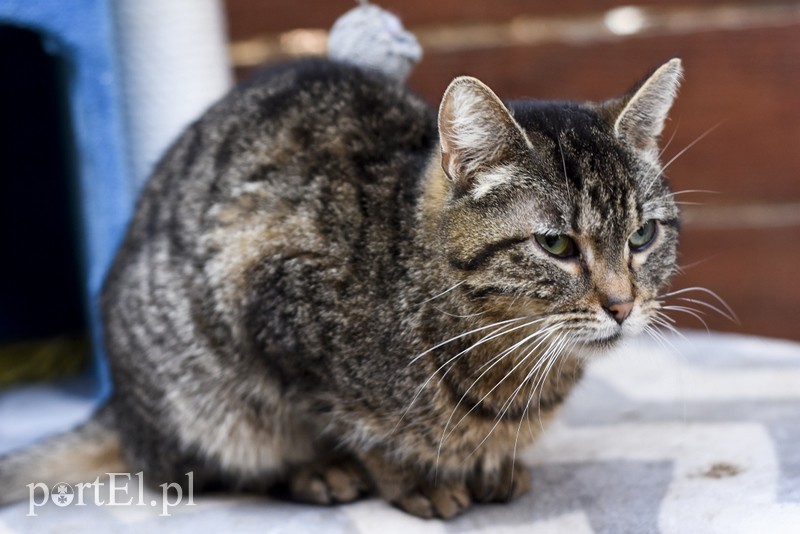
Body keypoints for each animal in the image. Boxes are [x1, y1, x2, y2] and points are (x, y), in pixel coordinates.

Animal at [1, 57, 688, 520]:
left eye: (642, 235)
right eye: (556, 246)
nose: (623, 305)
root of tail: (116, 402)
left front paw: (491, 462)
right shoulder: (270, 302)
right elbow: (358, 424)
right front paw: (413, 476)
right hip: (198, 392)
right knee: (195, 468)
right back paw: (315, 473)